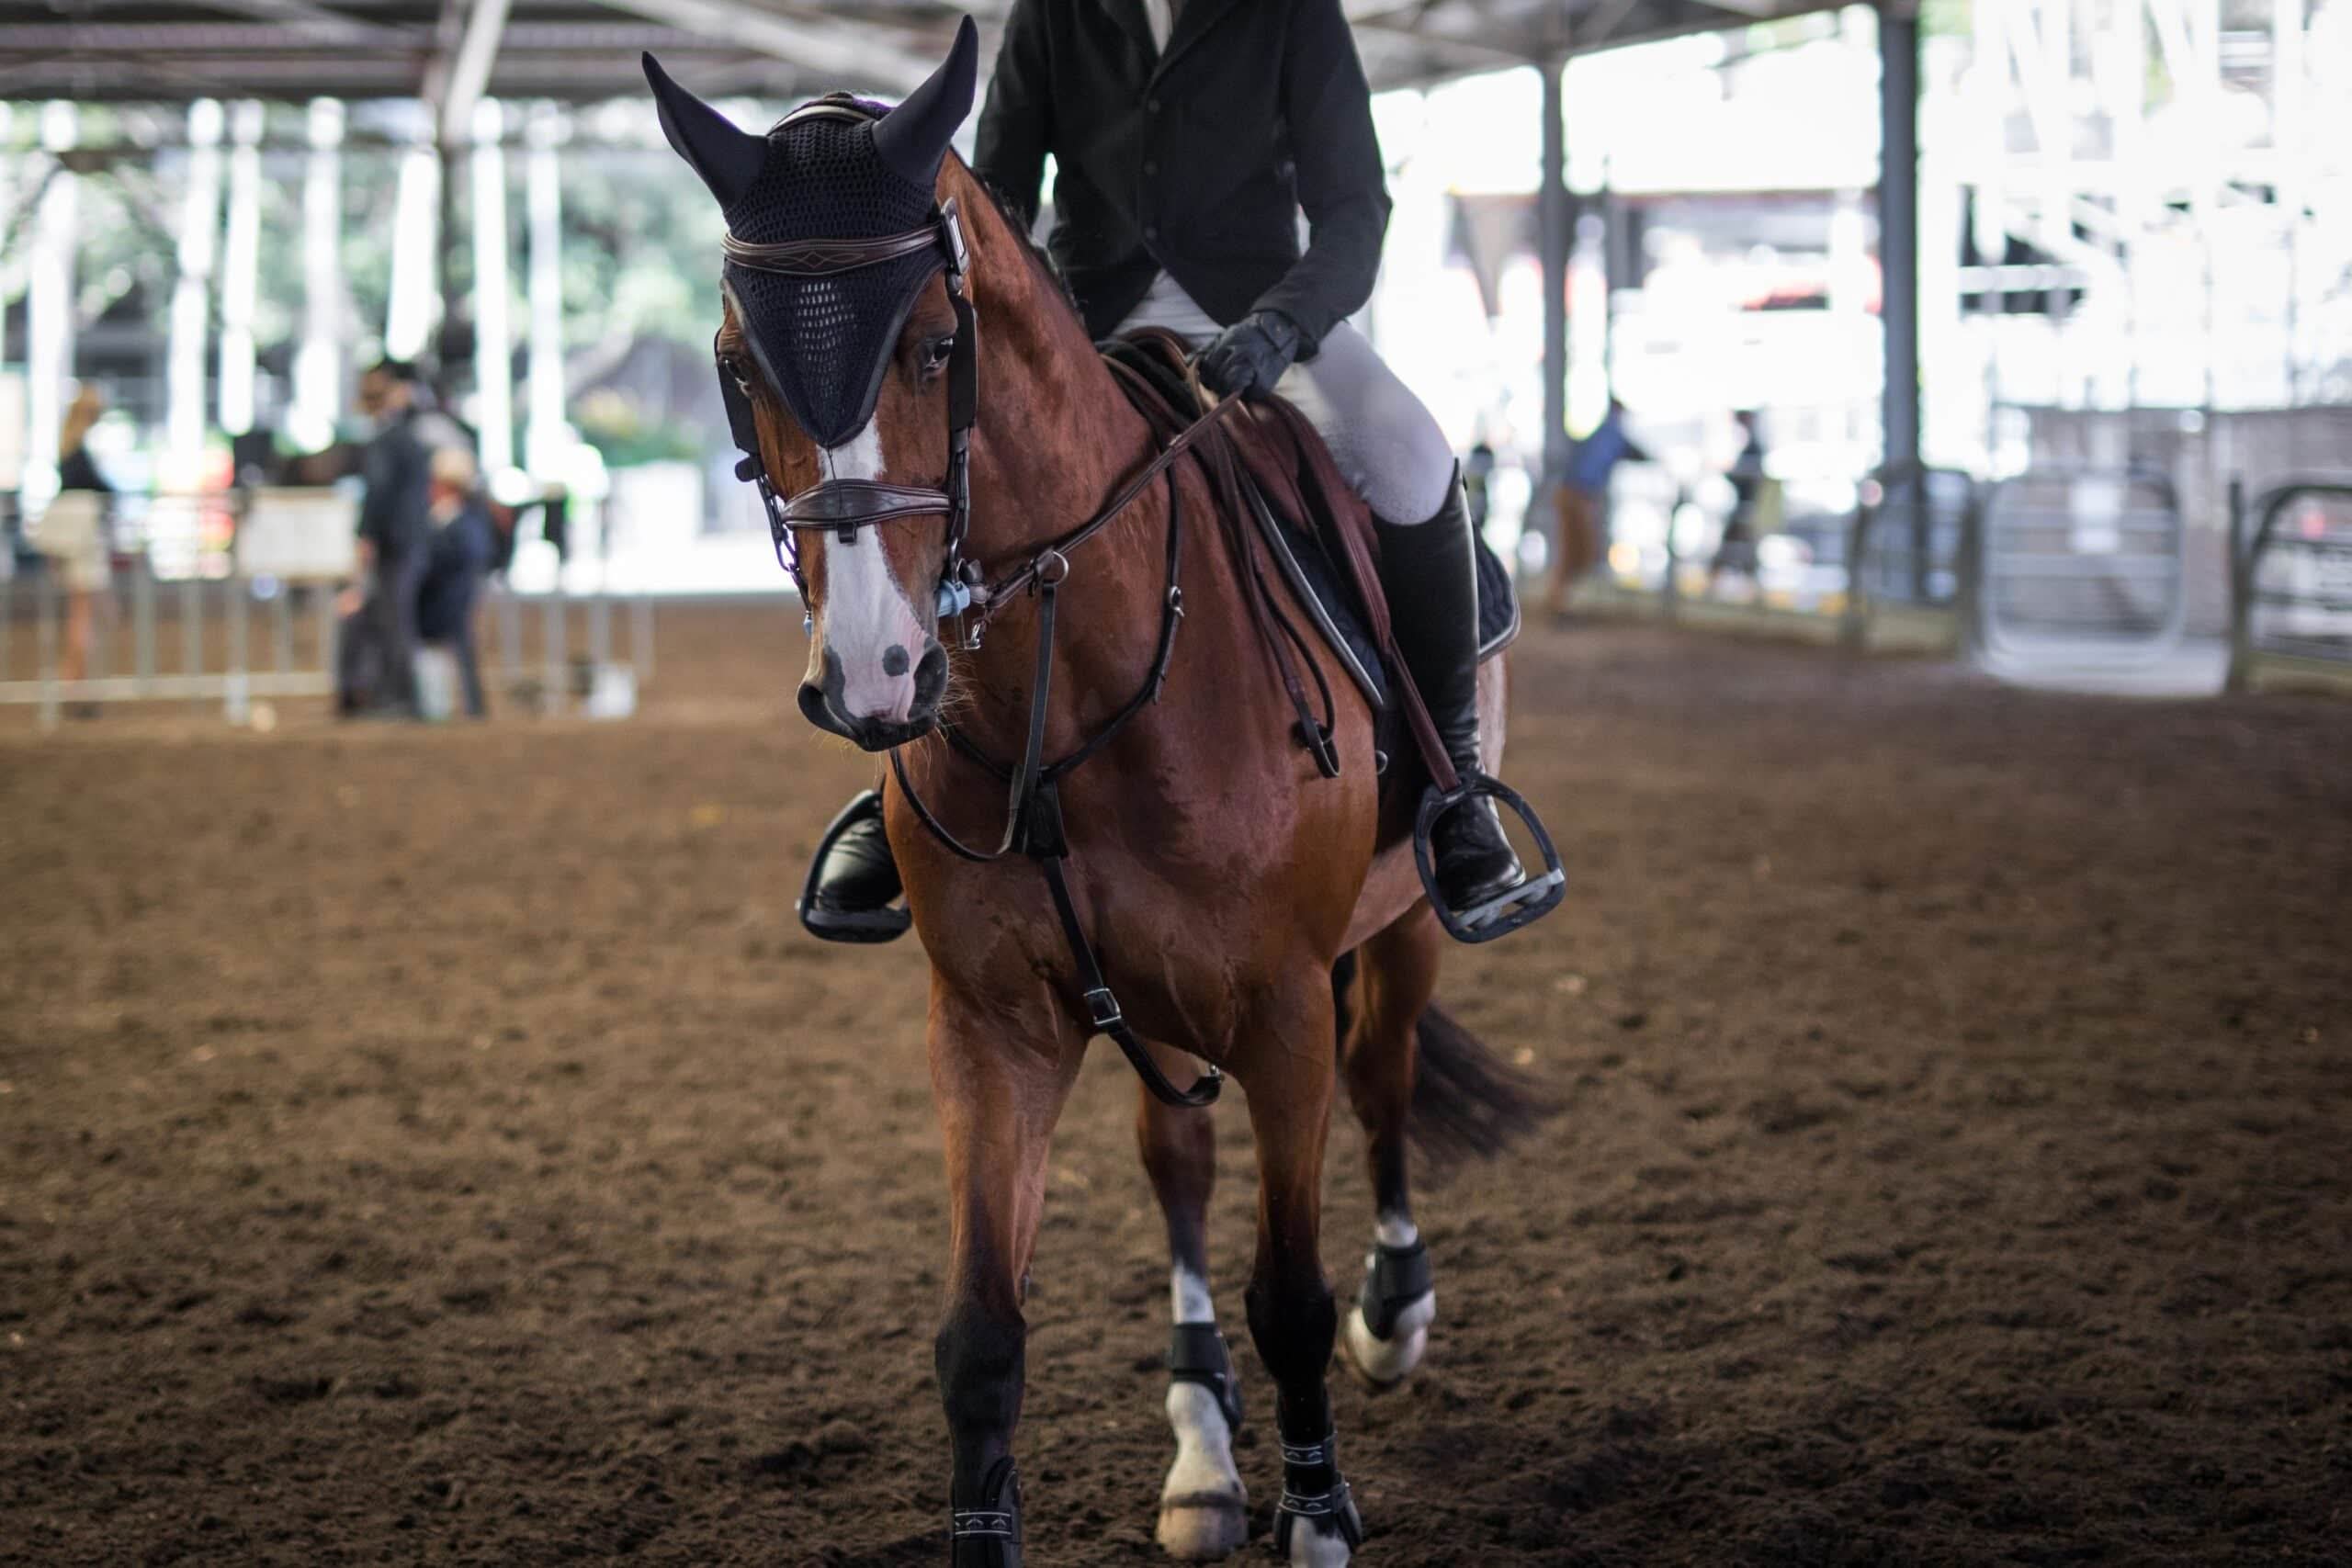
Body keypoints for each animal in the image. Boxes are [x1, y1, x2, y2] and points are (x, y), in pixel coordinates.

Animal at [647, 21, 1548, 1563]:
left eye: (936, 346)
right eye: (733, 362)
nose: (875, 674)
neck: (1078, 688)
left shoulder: (1283, 1009)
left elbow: (1290, 1294)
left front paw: (1321, 1508)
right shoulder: (993, 1022)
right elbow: (981, 1338)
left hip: (1398, 924)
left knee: (1385, 1071)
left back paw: (1396, 1309)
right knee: (1176, 1156)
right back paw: (1201, 1451)